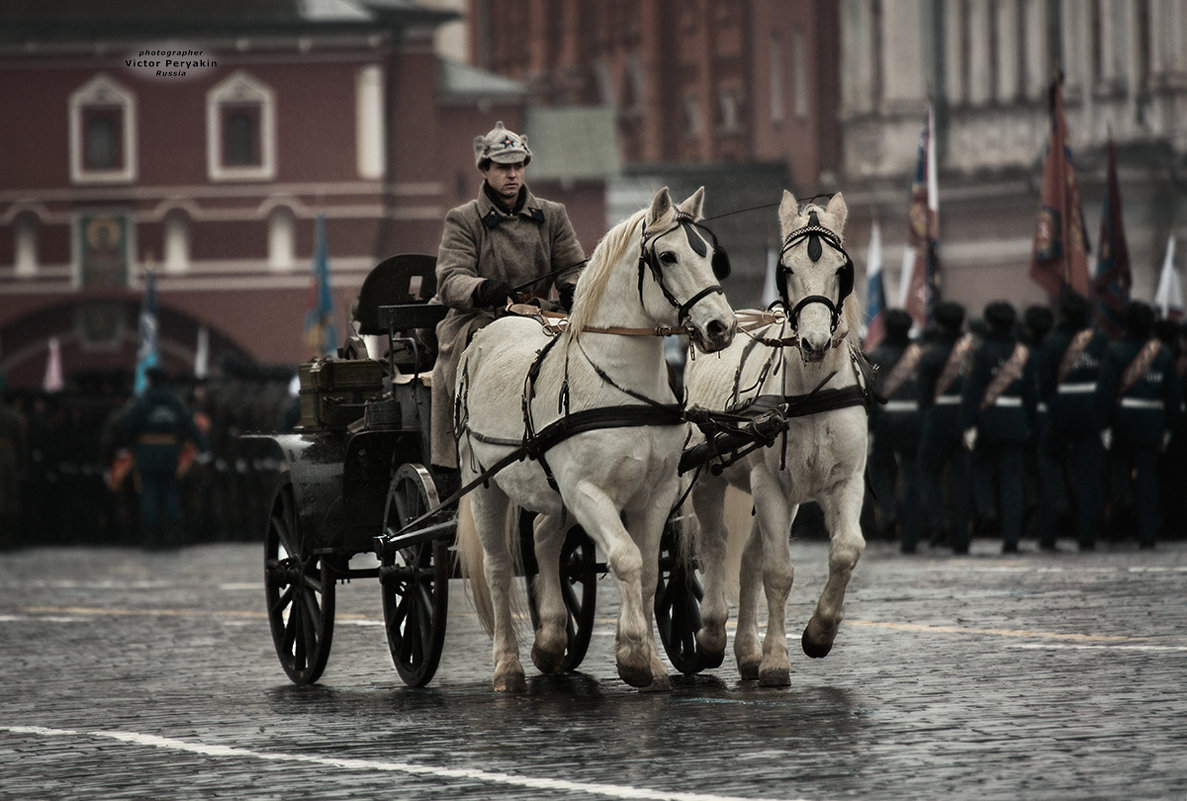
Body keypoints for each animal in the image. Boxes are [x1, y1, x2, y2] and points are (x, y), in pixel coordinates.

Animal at [451, 186, 731, 688]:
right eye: (668, 255)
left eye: (710, 255)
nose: (722, 327)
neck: (620, 385)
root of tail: (492, 329)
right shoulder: (587, 492)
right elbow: (625, 558)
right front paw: (633, 655)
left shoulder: (656, 493)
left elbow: (646, 572)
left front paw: (651, 661)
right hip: (482, 483)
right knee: (498, 566)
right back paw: (507, 666)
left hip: (552, 494)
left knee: (544, 539)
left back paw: (550, 640)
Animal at [683, 191, 868, 688]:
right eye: (786, 269)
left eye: (842, 270)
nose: (815, 342)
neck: (809, 396)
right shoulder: (770, 485)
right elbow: (779, 572)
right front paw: (776, 662)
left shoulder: (845, 481)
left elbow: (846, 550)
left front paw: (818, 635)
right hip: (708, 476)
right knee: (716, 544)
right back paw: (712, 634)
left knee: (747, 559)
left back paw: (746, 651)